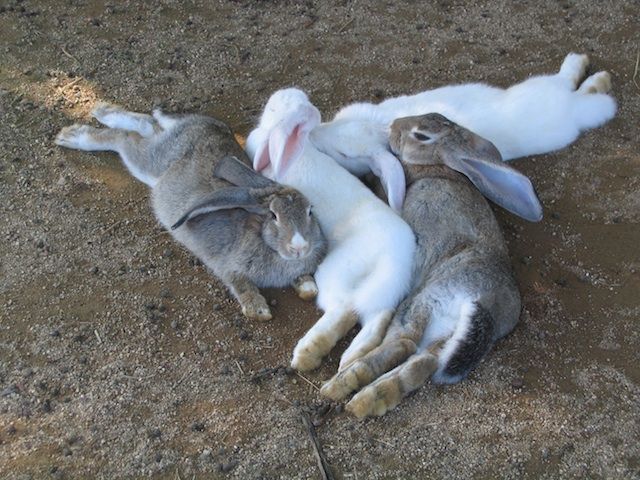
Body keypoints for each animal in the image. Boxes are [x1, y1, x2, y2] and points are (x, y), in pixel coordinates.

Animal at [53, 103, 324, 320]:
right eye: (274, 216)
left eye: (310, 211)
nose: (299, 247)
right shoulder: (228, 267)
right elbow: (240, 284)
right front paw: (259, 310)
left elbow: (305, 284)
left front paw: (308, 289)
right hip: (151, 165)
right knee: (125, 139)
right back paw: (73, 135)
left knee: (146, 125)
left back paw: (103, 111)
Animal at [224, 88, 416, 374]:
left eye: (274, 109)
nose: (274, 99)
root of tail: (395, 260)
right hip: (382, 290)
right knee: (377, 316)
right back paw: (350, 357)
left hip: (336, 271)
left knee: (345, 307)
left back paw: (307, 353)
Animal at [310, 51, 616, 211]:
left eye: (344, 155)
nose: (312, 136)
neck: (379, 128)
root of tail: (566, 105)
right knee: (571, 84)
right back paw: (593, 73)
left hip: (560, 108)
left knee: (585, 96)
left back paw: (598, 81)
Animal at [322, 112, 544, 416]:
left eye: (421, 135)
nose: (394, 126)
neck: (433, 165)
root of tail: (487, 305)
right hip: (442, 336)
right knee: (422, 363)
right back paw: (372, 398)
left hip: (425, 300)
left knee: (404, 342)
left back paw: (342, 385)